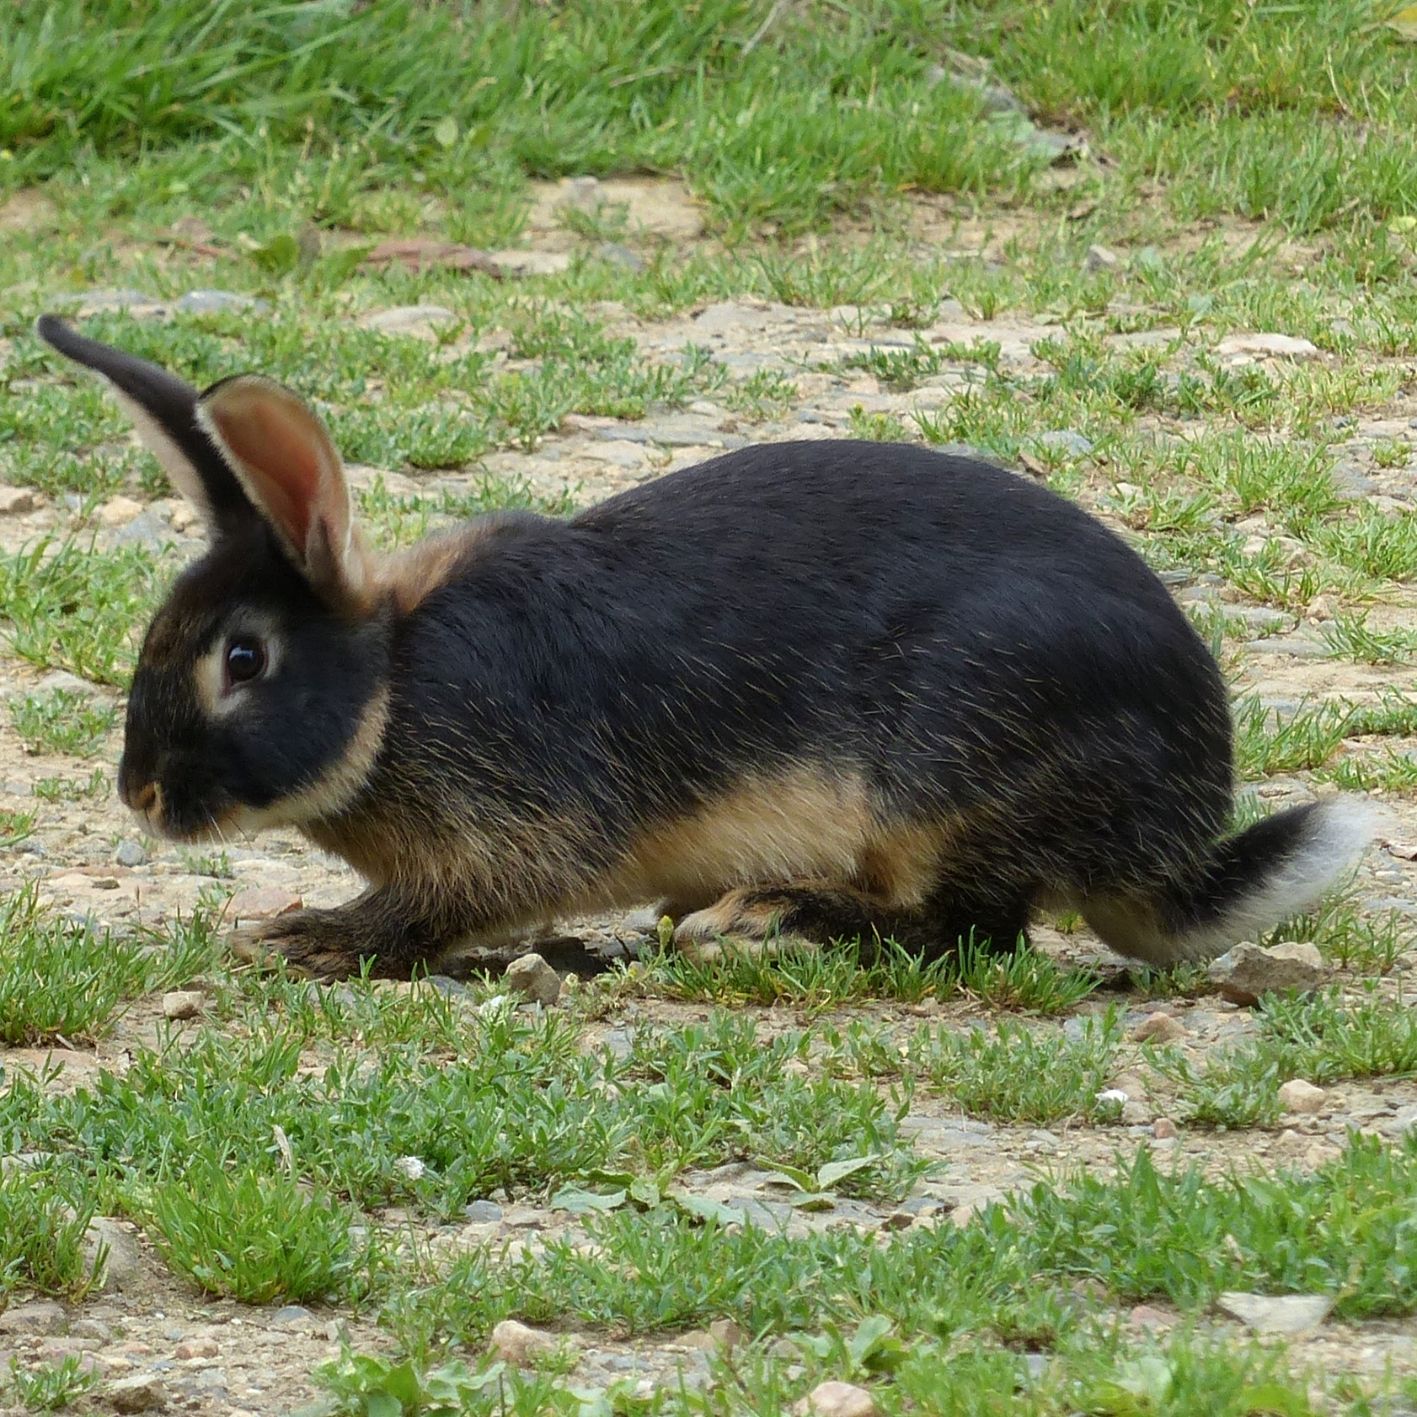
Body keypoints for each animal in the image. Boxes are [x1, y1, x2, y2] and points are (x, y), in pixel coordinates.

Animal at [36, 315, 1373, 980]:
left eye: (242, 660)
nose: (141, 795)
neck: (395, 681)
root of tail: (1172, 838)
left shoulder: (517, 825)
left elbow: (451, 903)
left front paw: (310, 935)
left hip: (951, 770)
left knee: (961, 928)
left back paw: (766, 918)